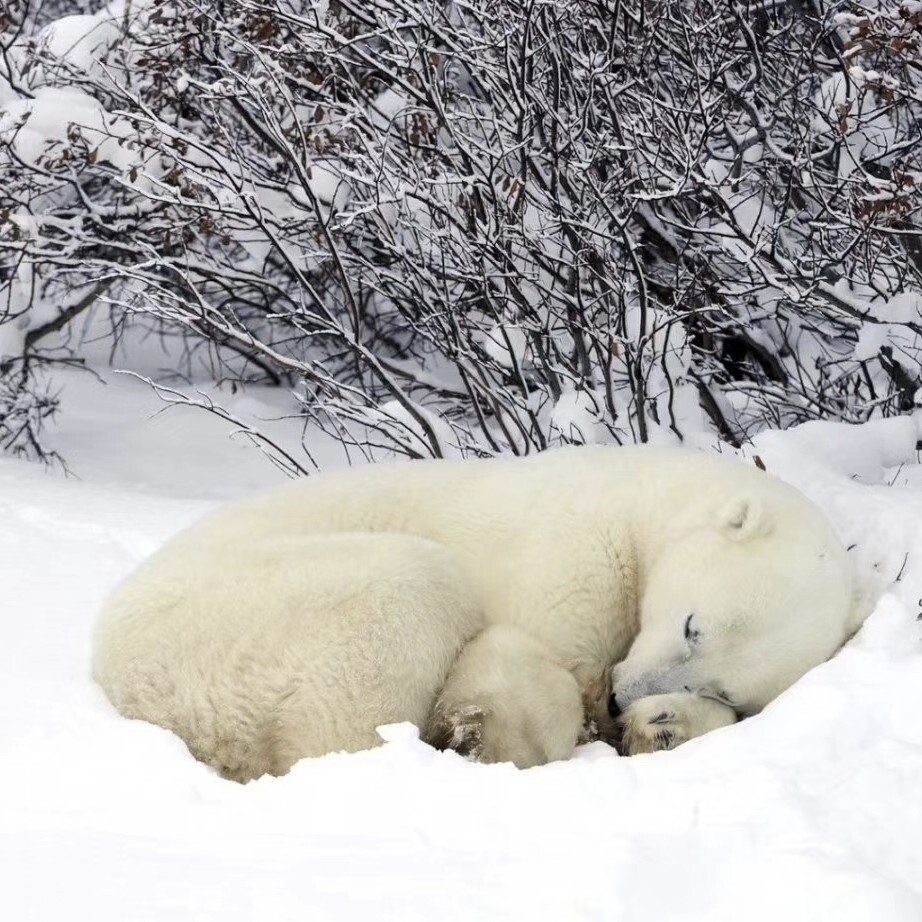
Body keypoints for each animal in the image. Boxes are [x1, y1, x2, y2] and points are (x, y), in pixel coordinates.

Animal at [91, 446, 864, 776]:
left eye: (724, 686)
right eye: (691, 624)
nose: (622, 697)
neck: (641, 498)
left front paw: (664, 726)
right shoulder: (573, 550)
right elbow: (524, 654)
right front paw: (499, 733)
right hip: (240, 619)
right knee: (405, 597)